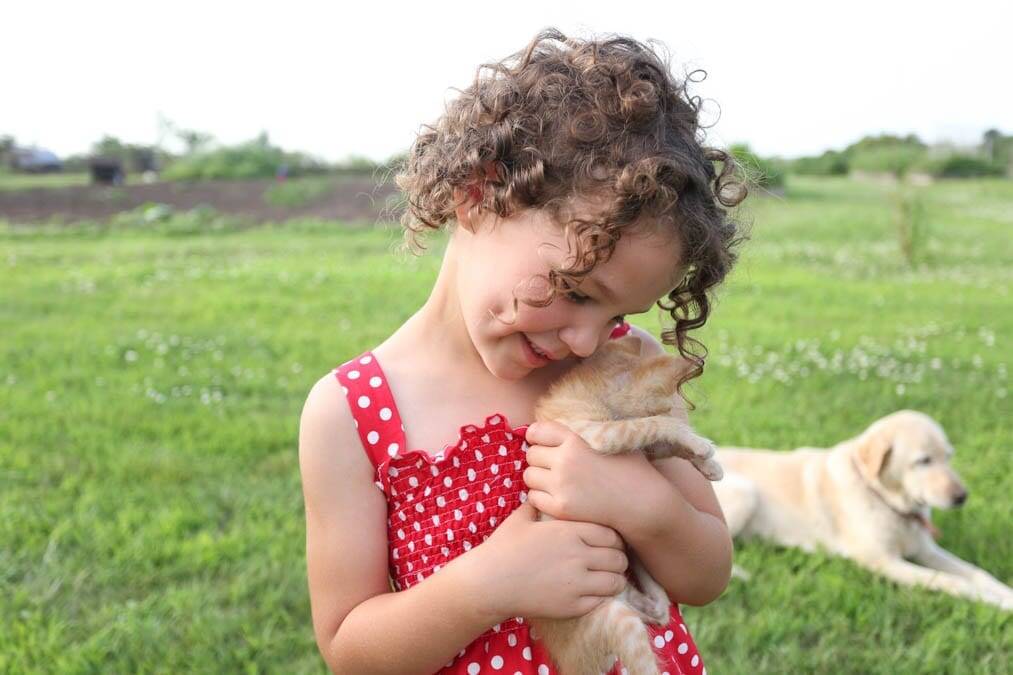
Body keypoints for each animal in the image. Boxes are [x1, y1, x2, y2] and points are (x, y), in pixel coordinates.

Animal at [526, 334, 725, 672]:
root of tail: (571, 662)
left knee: (659, 611)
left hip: (632, 603)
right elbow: (654, 425)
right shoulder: (603, 434)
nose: (679, 413)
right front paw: (697, 443)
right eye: (670, 406)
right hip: (616, 620)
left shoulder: (640, 446)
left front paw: (709, 464)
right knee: (644, 662)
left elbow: (666, 446)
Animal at [713, 409, 1013, 608]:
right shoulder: (882, 561)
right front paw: (988, 599)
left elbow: (976, 573)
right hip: (746, 491)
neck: (885, 500)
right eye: (923, 461)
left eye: (949, 456)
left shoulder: (925, 550)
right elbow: (951, 581)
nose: (962, 497)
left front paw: (1005, 595)